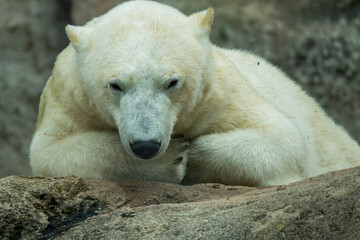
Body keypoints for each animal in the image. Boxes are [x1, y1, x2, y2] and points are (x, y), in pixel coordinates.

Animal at [30, 0, 360, 186]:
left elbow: (284, 140)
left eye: (172, 82)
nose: (146, 145)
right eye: (116, 85)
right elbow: (49, 152)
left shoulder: (220, 93)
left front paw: (186, 154)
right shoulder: (68, 95)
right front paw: (169, 159)